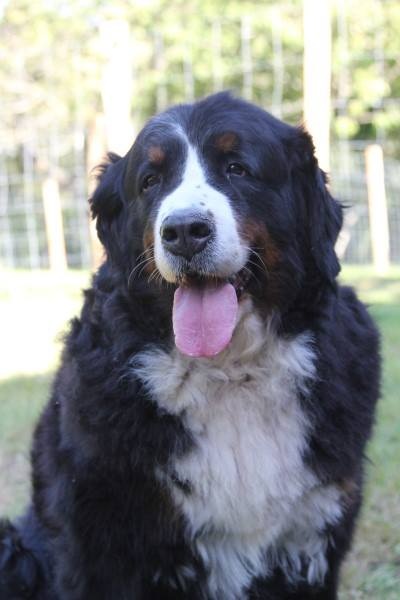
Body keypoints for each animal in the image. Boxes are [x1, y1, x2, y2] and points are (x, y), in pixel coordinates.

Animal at [0, 92, 380, 599]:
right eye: (150, 180)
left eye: (238, 168)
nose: (183, 231)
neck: (230, 373)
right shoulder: (100, 546)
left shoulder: (312, 536)